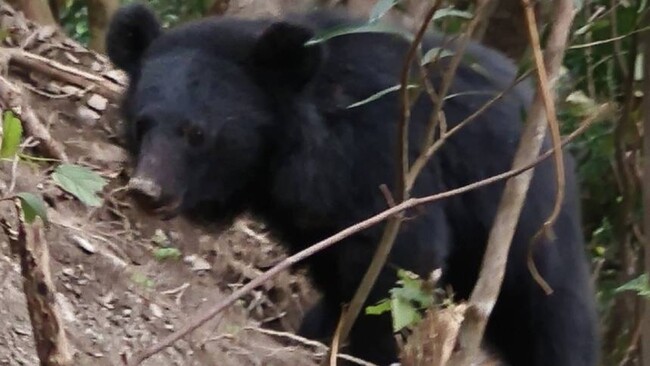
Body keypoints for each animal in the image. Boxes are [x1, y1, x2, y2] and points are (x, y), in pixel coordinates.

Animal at [106, 3, 596, 366]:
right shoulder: (310, 209)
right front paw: (324, 329)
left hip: (525, 219)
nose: (147, 190)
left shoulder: (381, 151)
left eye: (197, 133)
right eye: (142, 124)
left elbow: (403, 254)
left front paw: (365, 348)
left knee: (551, 311)